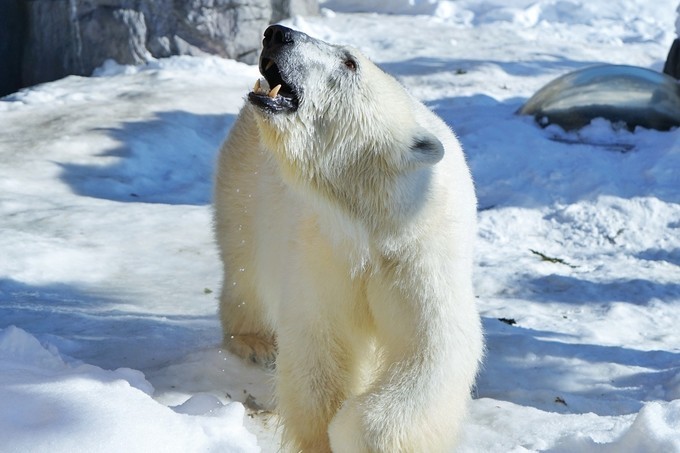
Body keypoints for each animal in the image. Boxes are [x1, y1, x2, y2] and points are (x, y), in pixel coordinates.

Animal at [214, 25, 484, 452]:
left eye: (349, 61)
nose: (277, 32)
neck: (372, 221)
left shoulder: (419, 253)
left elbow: (432, 349)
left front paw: (354, 430)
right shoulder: (324, 246)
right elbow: (318, 345)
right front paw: (323, 435)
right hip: (243, 187)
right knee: (245, 265)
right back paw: (255, 342)